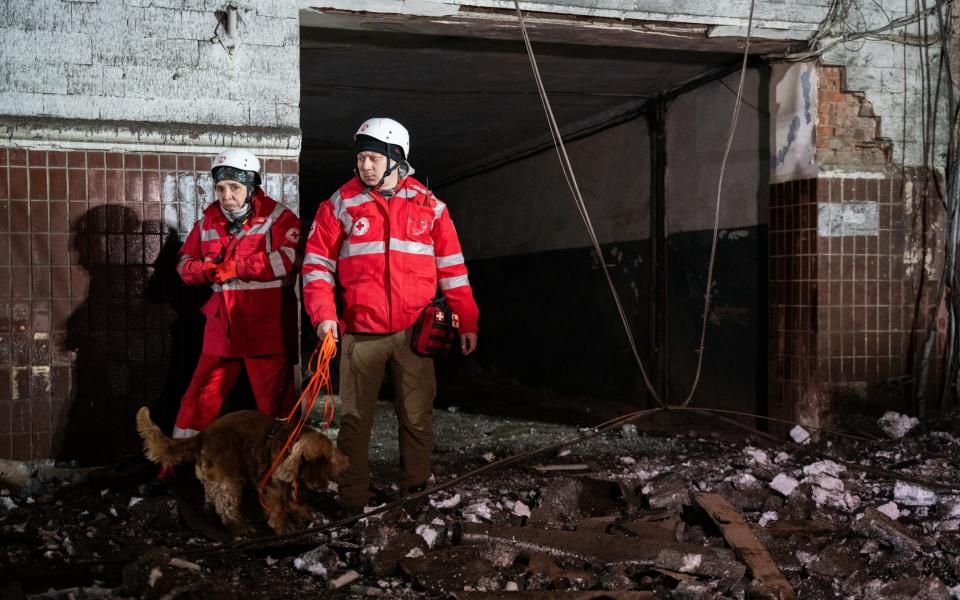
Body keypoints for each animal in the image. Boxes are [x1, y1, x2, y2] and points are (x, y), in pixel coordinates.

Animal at [133, 408, 346, 536]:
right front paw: (284, 528)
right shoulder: (272, 486)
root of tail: (202, 436)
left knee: (211, 499)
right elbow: (278, 509)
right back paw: (242, 527)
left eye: (325, 462)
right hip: (229, 479)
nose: (319, 486)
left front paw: (304, 514)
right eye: (309, 461)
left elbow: (299, 497)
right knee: (226, 508)